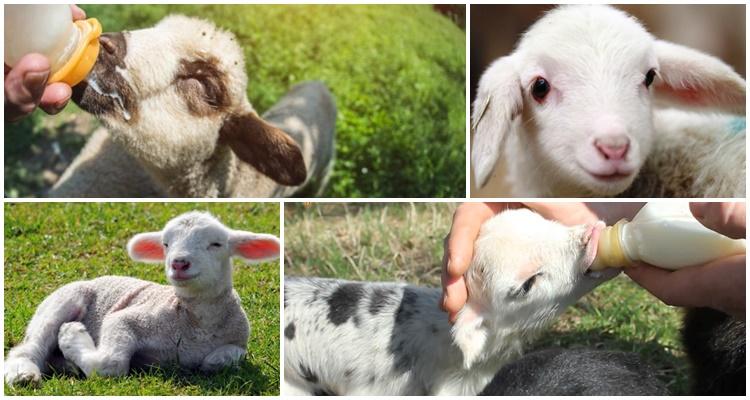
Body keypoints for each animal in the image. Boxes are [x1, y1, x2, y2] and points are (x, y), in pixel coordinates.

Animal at [4, 211, 280, 387]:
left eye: (216, 244)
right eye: (166, 244)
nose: (179, 263)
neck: (198, 325)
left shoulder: (238, 340)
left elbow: (226, 357)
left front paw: (214, 360)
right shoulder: (126, 319)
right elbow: (110, 364)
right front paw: (71, 334)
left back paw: (67, 365)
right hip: (60, 303)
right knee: (29, 347)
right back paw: (23, 374)